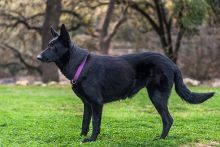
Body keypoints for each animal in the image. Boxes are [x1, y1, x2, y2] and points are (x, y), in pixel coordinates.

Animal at [37, 24, 214, 142]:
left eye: (52, 46)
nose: (38, 57)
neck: (80, 64)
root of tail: (172, 63)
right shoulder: (87, 104)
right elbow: (85, 122)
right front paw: (81, 137)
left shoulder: (96, 103)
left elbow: (95, 122)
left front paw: (92, 139)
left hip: (156, 96)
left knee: (168, 119)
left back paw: (161, 138)